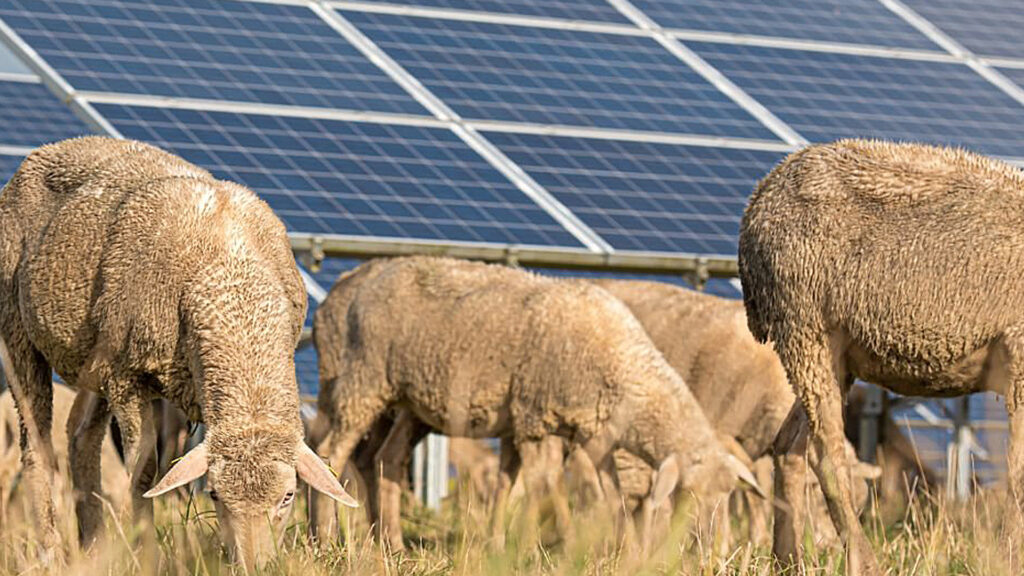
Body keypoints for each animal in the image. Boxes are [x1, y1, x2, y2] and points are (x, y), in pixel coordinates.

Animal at [0, 135, 356, 565]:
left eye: (288, 496)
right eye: (215, 494)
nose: (252, 565)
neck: (232, 280)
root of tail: (52, 148)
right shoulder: (127, 378)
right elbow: (143, 470)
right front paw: (146, 556)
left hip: (93, 357)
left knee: (81, 436)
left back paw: (94, 549)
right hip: (18, 331)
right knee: (36, 446)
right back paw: (49, 553)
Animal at [311, 256, 761, 553]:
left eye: (728, 497)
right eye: (688, 495)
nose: (715, 552)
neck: (623, 367)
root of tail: (361, 278)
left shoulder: (581, 429)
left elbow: (586, 488)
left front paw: (623, 548)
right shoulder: (534, 417)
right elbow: (543, 483)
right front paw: (552, 544)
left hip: (405, 400)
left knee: (382, 459)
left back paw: (387, 542)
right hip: (362, 382)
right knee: (332, 451)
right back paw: (326, 536)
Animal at [741, 136, 1024, 569]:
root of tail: (762, 193)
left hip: (835, 355)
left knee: (788, 446)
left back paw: (788, 563)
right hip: (805, 328)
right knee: (828, 457)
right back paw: (862, 562)